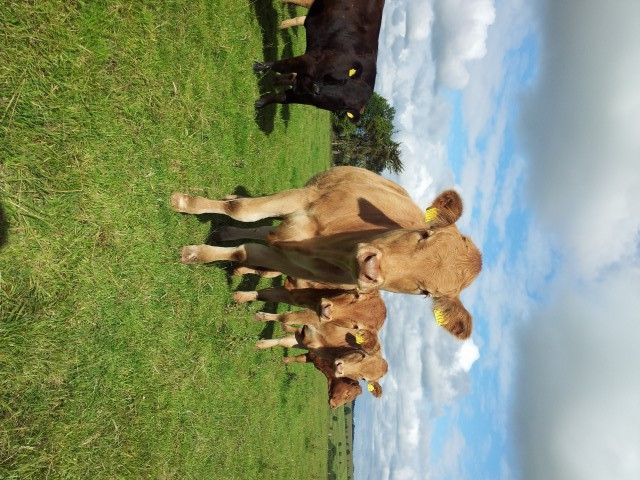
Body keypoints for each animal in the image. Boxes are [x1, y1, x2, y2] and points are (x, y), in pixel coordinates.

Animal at [171, 166, 482, 339]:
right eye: (424, 233)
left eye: (425, 293)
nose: (372, 269)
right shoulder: (303, 198)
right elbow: (241, 210)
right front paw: (184, 203)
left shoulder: (286, 260)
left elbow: (242, 253)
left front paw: (196, 254)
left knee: (262, 232)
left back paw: (227, 232)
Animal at [253, 0, 385, 121]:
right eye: (343, 82)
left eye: (342, 105)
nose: (316, 89)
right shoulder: (313, 60)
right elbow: (284, 65)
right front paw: (260, 67)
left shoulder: (303, 94)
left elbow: (282, 97)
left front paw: (261, 103)